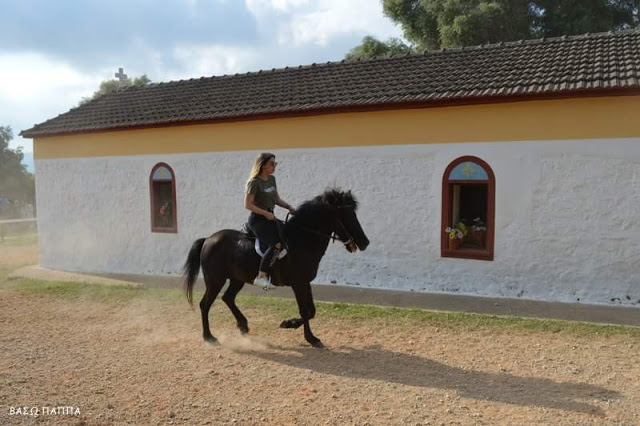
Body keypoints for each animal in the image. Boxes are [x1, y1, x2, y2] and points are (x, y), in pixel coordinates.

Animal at [182, 188, 368, 348]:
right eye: (345, 215)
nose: (365, 242)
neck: (302, 240)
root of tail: (208, 239)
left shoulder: (305, 282)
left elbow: (311, 311)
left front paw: (289, 324)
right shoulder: (298, 283)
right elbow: (305, 310)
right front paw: (310, 338)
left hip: (237, 279)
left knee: (228, 298)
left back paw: (243, 326)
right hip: (215, 280)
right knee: (205, 304)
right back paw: (209, 336)